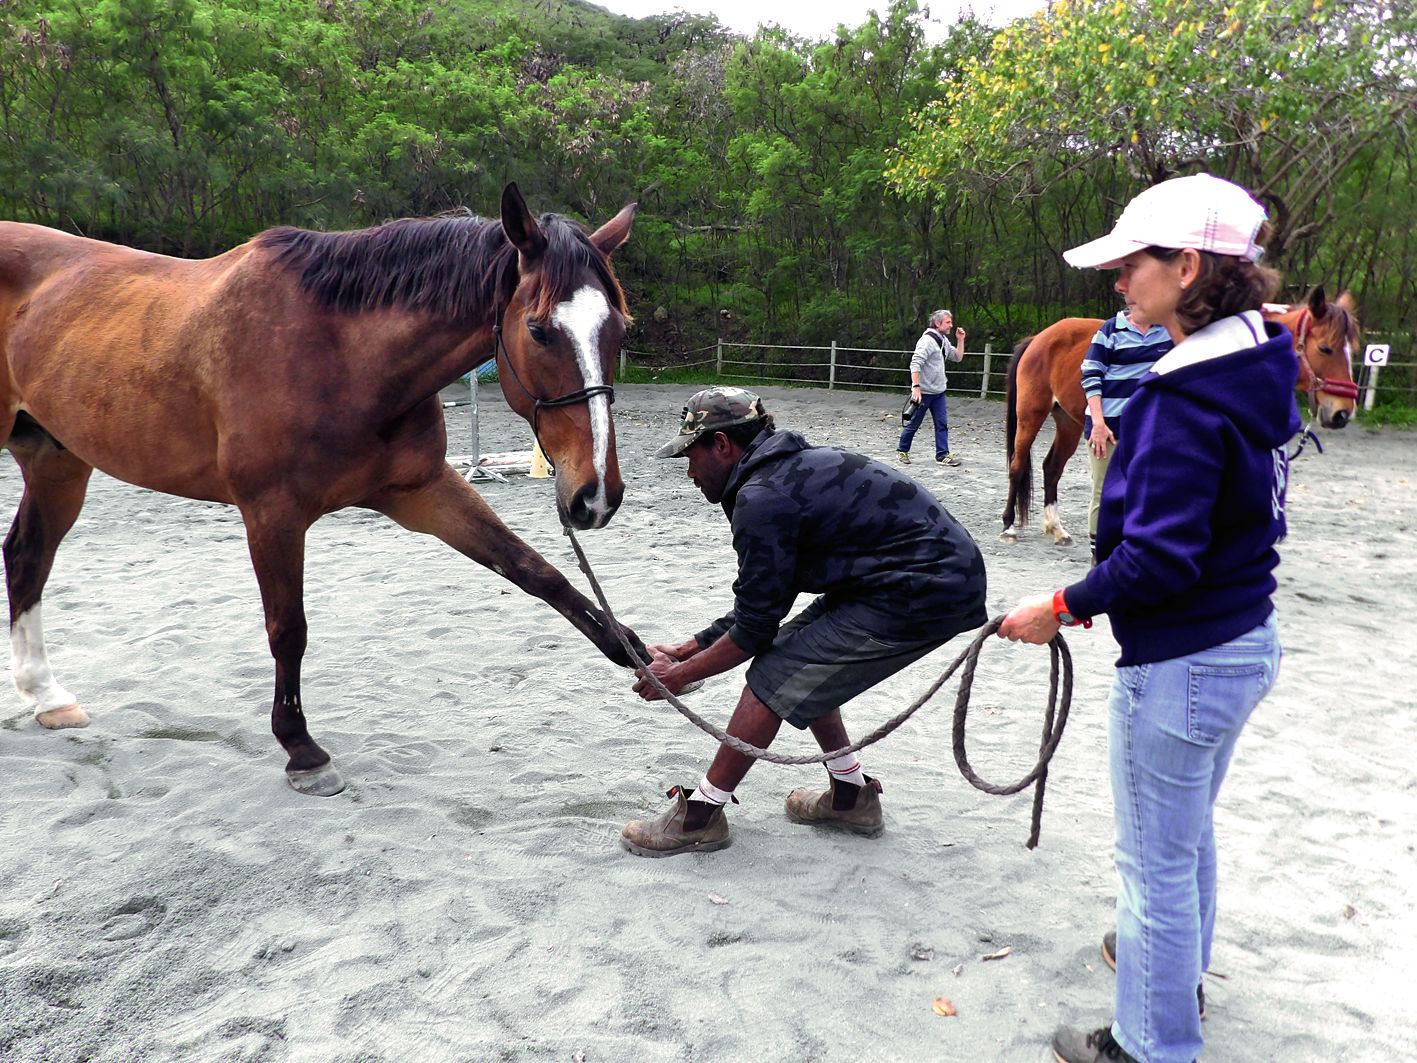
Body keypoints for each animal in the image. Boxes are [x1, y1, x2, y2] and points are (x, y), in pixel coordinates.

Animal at [2, 185, 648, 799]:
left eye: (618, 329)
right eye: (539, 330)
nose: (595, 496)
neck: (337, 355)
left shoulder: (422, 491)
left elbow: (538, 573)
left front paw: (635, 652)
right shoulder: (272, 515)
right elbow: (288, 629)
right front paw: (302, 750)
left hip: (57, 461)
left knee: (28, 556)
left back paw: (49, 697)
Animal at [1003, 287, 1354, 544]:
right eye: (1325, 348)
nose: (1342, 413)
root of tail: (1040, 338)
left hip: (1068, 422)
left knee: (1052, 468)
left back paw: (1057, 529)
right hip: (1031, 414)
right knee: (1018, 464)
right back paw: (1008, 527)